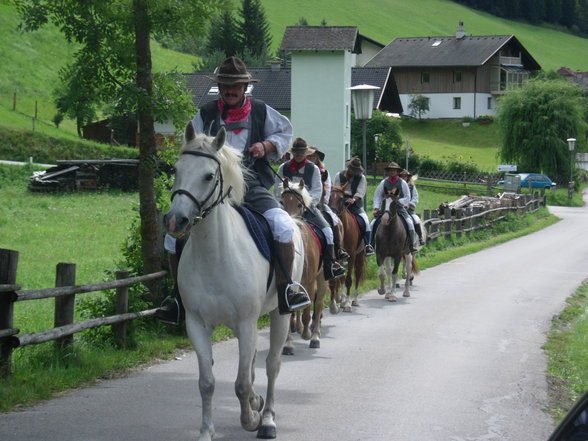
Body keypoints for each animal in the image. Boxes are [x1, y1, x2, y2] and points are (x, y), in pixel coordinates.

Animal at [164, 123, 304, 440]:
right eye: (176, 169)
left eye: (208, 176)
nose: (175, 221)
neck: (215, 256)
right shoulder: (197, 324)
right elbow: (207, 382)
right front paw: (206, 432)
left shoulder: (247, 321)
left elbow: (241, 383)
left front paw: (251, 420)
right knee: (251, 365)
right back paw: (256, 403)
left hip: (278, 314)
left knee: (271, 365)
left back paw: (267, 419)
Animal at [280, 179, 328, 350]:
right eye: (281, 202)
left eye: (299, 204)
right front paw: (288, 344)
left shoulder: (309, 282)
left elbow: (308, 311)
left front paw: (307, 333)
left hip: (322, 279)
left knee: (318, 304)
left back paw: (315, 336)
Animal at [328, 184, 366, 312]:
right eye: (328, 197)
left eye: (341, 198)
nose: (333, 214)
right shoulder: (338, 257)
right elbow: (341, 278)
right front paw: (342, 301)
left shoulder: (352, 255)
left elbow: (349, 279)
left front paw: (348, 304)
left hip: (360, 256)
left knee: (358, 274)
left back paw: (355, 300)